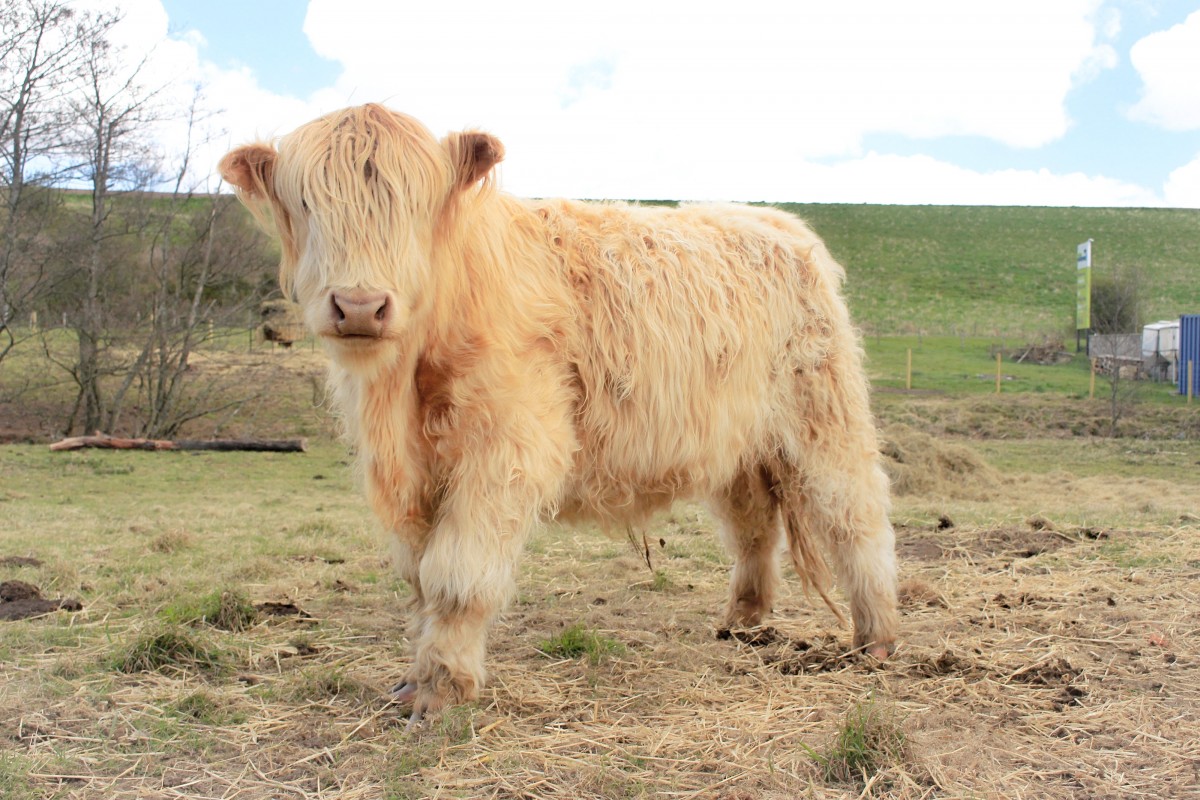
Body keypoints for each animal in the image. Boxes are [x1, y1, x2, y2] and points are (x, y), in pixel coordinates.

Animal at [220, 104, 898, 722]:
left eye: (416, 205)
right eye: (306, 203)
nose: (360, 306)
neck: (403, 390)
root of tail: (777, 220)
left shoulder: (504, 449)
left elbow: (456, 576)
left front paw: (443, 688)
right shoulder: (414, 473)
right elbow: (418, 579)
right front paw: (414, 679)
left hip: (824, 414)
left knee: (856, 515)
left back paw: (877, 637)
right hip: (736, 442)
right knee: (754, 526)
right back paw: (742, 621)